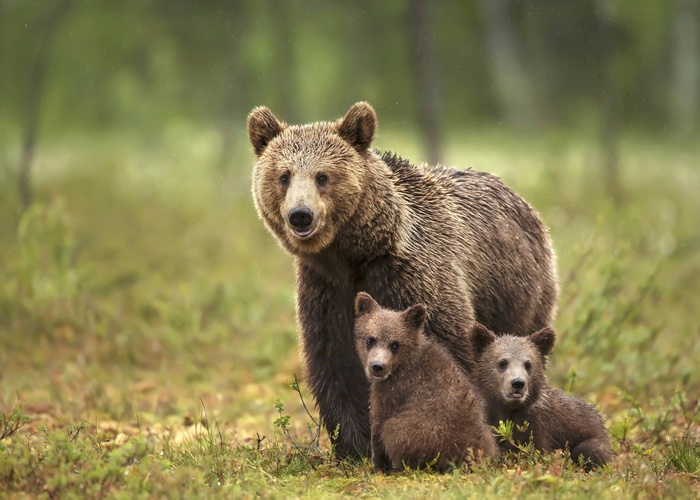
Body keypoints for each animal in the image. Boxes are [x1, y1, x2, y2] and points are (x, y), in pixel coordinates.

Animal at [353, 292, 497, 472]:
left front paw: (376, 466)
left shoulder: (392, 392)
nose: (378, 366)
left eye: (395, 344)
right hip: (483, 432)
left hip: (417, 429)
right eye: (370, 339)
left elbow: (378, 426)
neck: (403, 364)